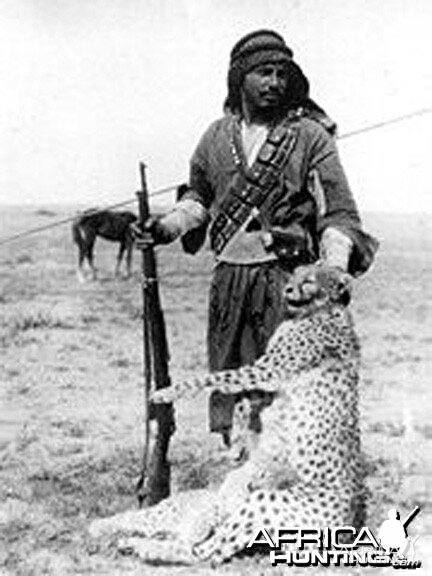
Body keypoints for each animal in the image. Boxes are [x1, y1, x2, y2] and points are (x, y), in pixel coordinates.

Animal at [90, 264, 364, 564]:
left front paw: (165, 392)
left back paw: (142, 546)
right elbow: (244, 399)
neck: (319, 311)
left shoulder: (265, 371)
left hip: (264, 502)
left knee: (203, 552)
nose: (288, 289)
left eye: (310, 281)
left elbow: (215, 378)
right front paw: (237, 434)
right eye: (295, 274)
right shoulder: (266, 378)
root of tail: (350, 529)